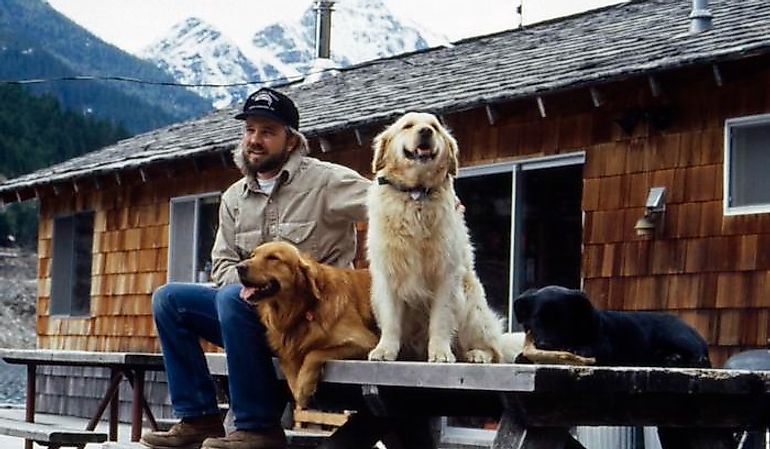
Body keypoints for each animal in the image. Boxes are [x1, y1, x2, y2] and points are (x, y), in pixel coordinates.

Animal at [512, 286, 712, 366]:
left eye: (563, 321)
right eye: (538, 319)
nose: (545, 345)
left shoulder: (605, 345)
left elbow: (590, 347)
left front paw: (578, 349)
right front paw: (522, 356)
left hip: (675, 335)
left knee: (698, 355)